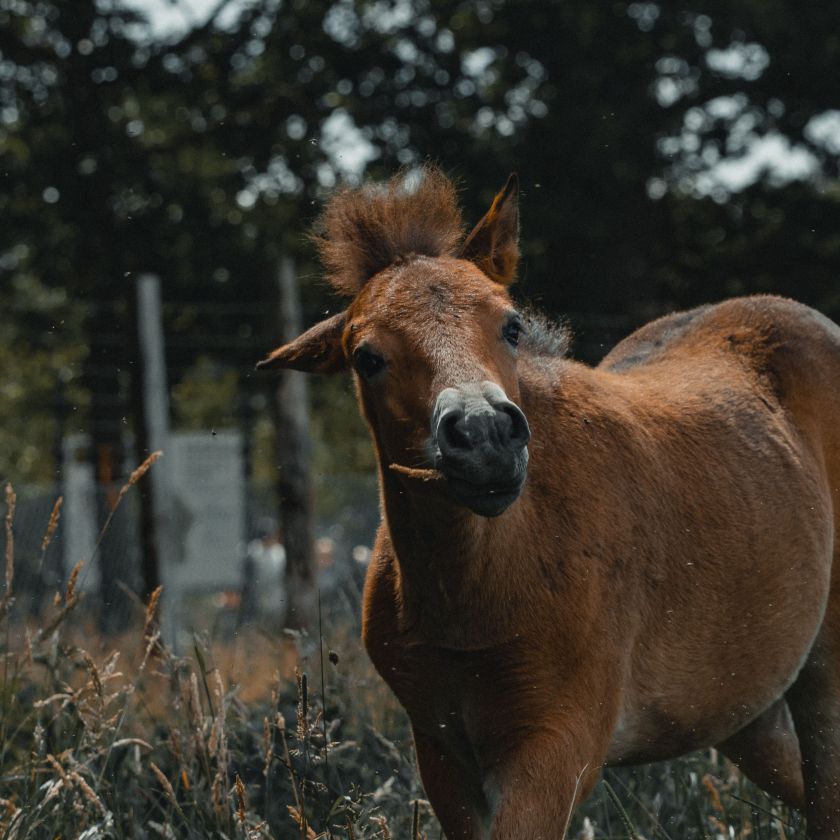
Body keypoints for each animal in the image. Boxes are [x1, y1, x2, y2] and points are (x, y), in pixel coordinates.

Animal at [258, 168, 840, 839]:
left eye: (511, 326)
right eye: (367, 357)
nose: (484, 435)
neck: (479, 580)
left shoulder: (556, 742)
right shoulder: (442, 753)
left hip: (823, 677)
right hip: (745, 704)